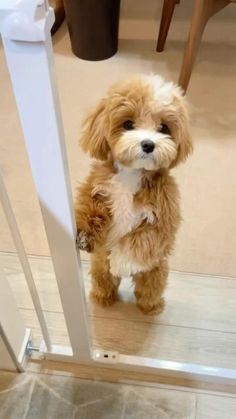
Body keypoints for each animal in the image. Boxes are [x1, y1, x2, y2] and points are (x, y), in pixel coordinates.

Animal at [75, 74, 192, 316]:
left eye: (163, 128)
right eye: (128, 124)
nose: (148, 144)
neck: (132, 175)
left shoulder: (163, 215)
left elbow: (142, 240)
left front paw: (122, 261)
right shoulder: (97, 188)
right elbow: (88, 206)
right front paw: (84, 234)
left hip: (156, 271)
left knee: (149, 288)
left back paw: (151, 306)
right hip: (99, 266)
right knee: (104, 280)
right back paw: (103, 298)